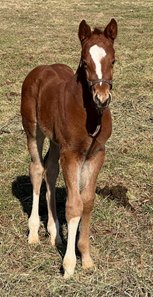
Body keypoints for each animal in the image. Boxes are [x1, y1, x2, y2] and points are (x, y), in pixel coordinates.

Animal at [20, 19, 117, 278]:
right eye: (84, 62)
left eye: (113, 61)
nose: (102, 98)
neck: (89, 114)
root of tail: (40, 70)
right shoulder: (71, 154)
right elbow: (74, 206)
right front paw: (69, 265)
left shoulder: (96, 154)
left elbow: (88, 201)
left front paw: (86, 258)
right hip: (33, 130)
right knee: (36, 169)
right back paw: (34, 233)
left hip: (56, 143)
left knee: (50, 170)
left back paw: (54, 234)